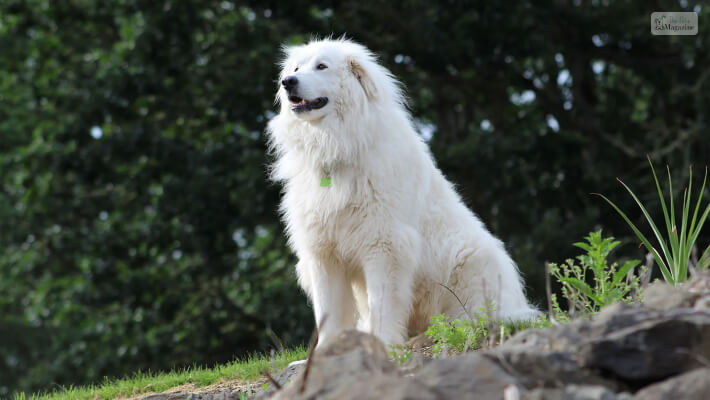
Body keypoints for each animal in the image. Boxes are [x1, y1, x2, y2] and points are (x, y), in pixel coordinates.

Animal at [268, 38, 540, 346]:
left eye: (321, 66)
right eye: (296, 68)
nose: (287, 82)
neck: (336, 146)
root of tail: (518, 305)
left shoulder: (384, 245)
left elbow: (382, 304)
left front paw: (384, 344)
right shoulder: (324, 253)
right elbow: (329, 312)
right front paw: (328, 351)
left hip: (474, 260)